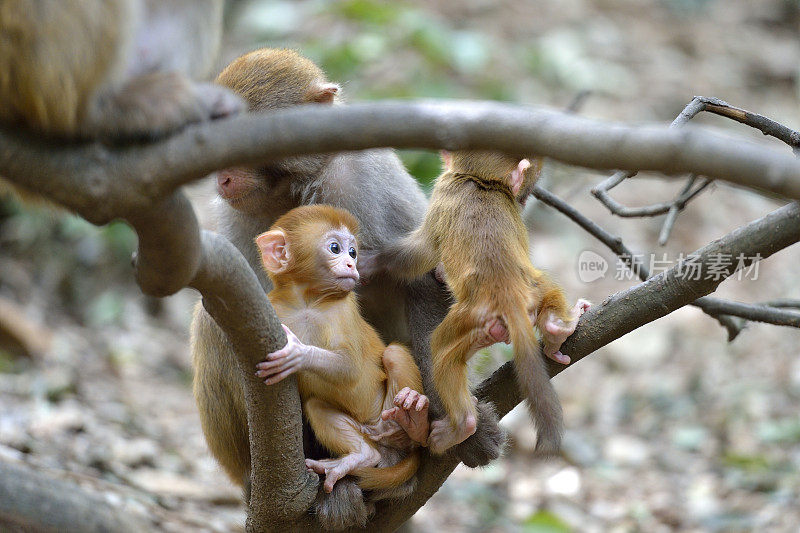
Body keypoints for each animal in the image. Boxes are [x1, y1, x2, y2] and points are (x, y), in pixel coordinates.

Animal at [256, 205, 432, 494]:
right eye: (335, 248)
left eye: (353, 252)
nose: (351, 264)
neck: (307, 302)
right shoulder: (275, 307)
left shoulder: (343, 309)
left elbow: (350, 369)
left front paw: (298, 353)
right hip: (366, 431)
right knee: (316, 405)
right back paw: (360, 456)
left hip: (388, 413)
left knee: (394, 354)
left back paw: (414, 423)